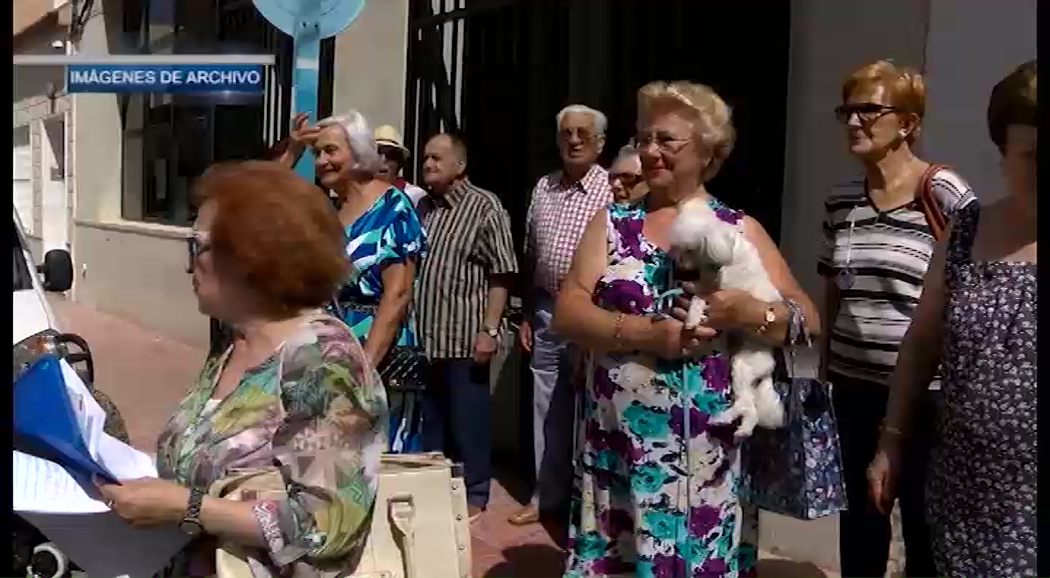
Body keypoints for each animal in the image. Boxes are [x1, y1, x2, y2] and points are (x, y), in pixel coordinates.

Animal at [667, 199, 785, 439]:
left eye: (690, 250)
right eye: (678, 246)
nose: (678, 264)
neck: (726, 249)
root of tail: (769, 367)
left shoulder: (715, 289)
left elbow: (698, 297)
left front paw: (692, 318)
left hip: (744, 366)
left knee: (747, 405)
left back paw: (729, 423)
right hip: (740, 366)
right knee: (749, 407)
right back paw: (734, 425)